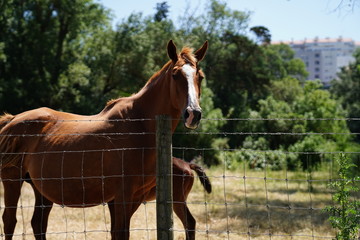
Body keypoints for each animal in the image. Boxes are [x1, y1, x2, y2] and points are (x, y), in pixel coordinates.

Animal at [0, 40, 208, 239]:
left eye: (200, 76)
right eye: (175, 74)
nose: (193, 114)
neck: (139, 124)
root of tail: (13, 119)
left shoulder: (133, 196)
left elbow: (117, 232)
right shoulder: (123, 194)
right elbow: (121, 233)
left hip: (41, 189)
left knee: (38, 224)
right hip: (12, 180)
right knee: (10, 221)